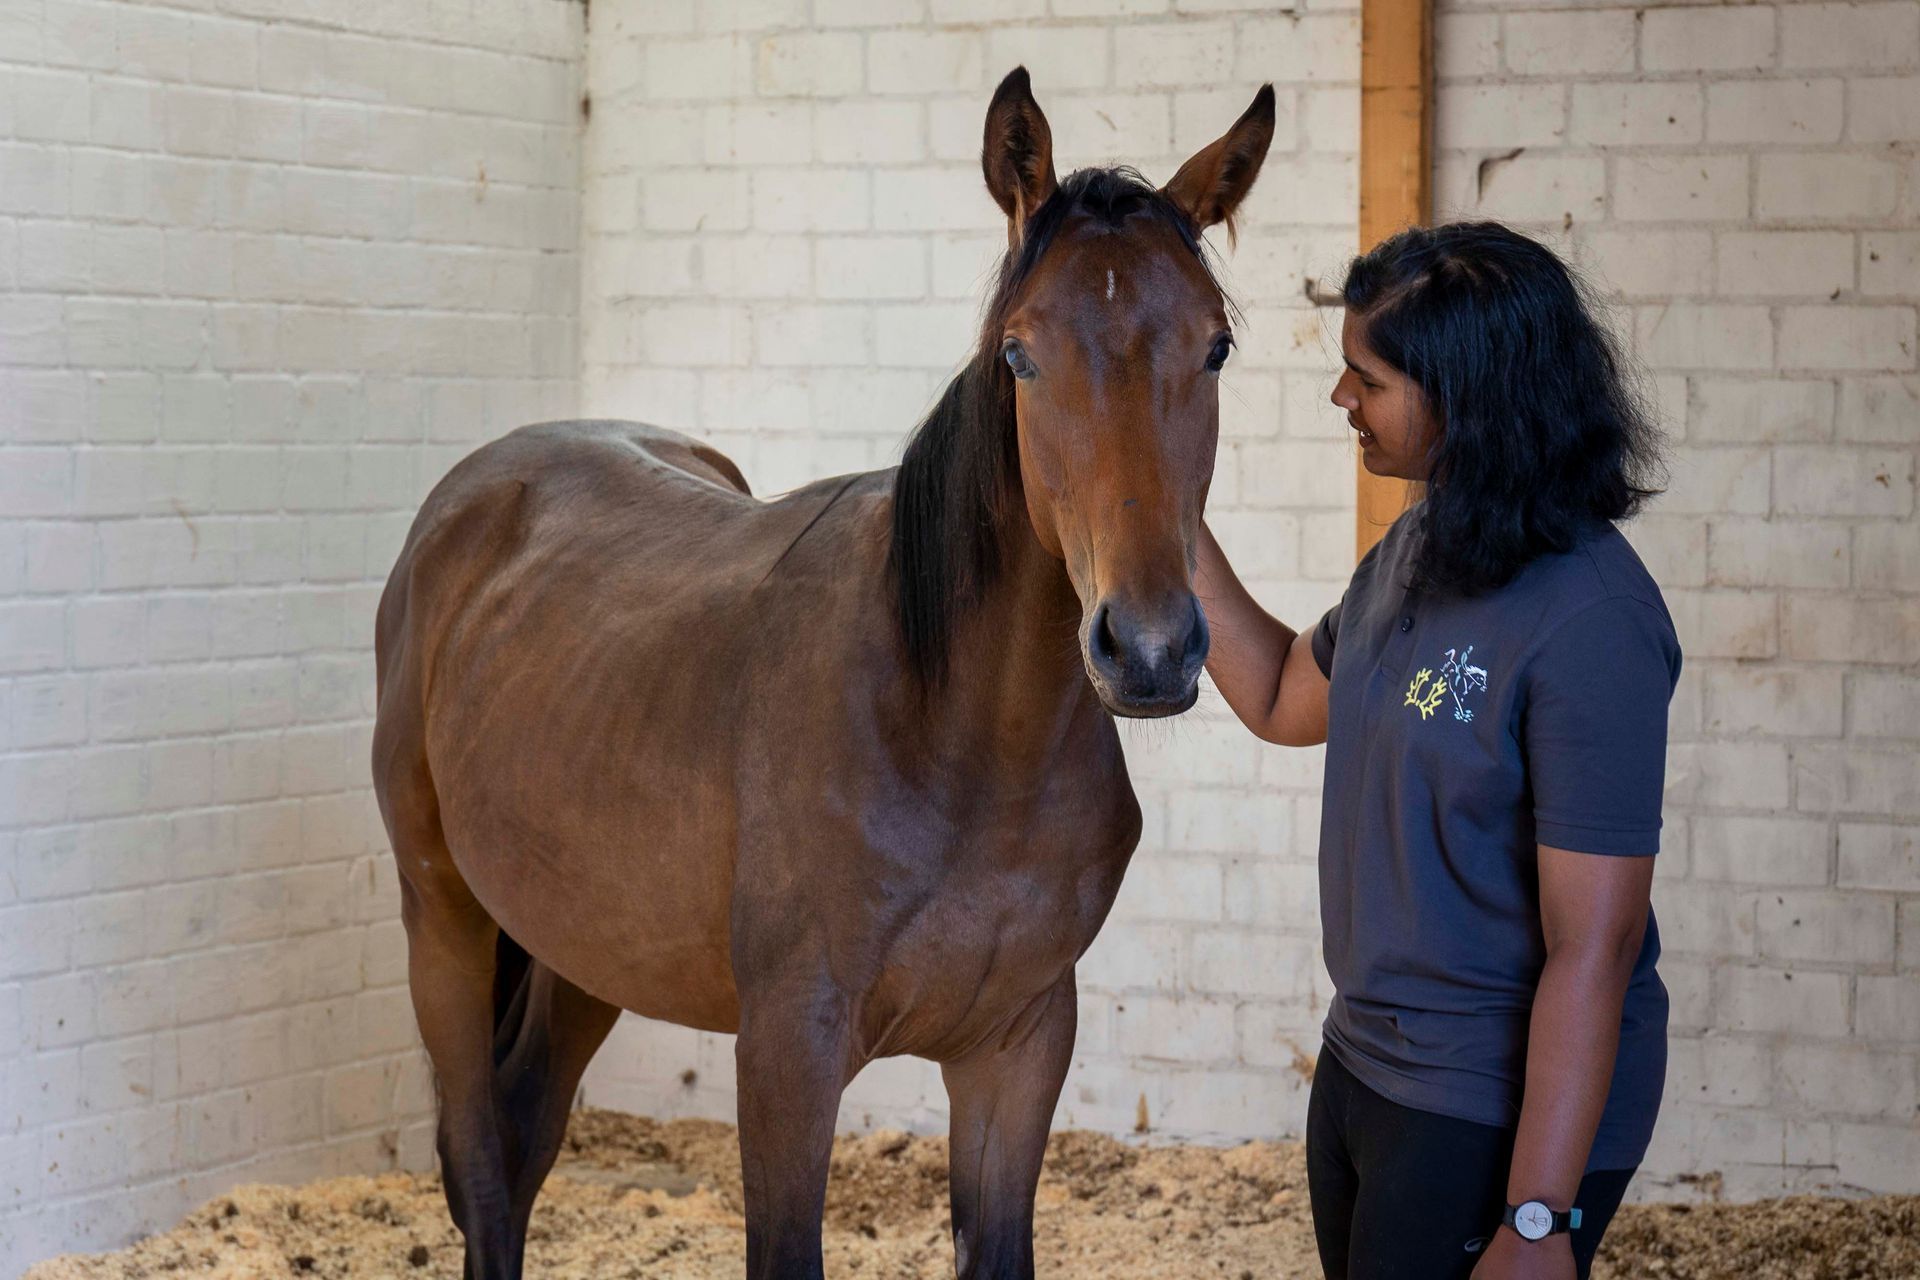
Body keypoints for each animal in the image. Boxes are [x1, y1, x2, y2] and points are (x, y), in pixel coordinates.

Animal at [371, 67, 1276, 1280]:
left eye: (1214, 348)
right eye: (1021, 354)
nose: (1149, 649)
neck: (951, 734)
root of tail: (472, 499)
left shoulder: (1019, 1048)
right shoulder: (788, 1055)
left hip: (585, 950)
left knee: (518, 1146)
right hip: (445, 920)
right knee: (477, 1154)